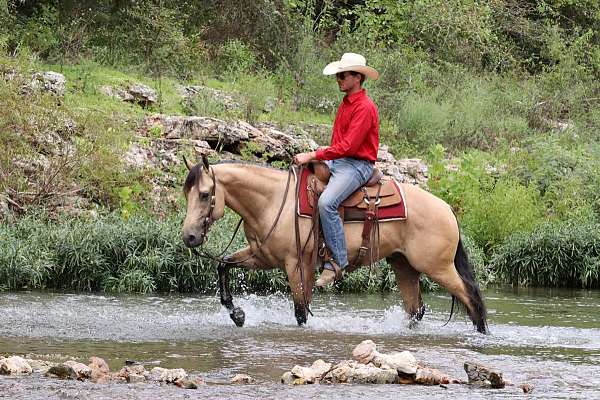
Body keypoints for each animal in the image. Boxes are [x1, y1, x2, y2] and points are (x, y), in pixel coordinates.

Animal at [182, 156, 488, 334]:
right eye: (187, 194)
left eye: (205, 194)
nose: (189, 237)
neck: (273, 201)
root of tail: (447, 208)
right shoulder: (263, 256)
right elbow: (223, 266)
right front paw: (237, 314)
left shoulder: (296, 264)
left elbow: (301, 311)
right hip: (405, 266)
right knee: (417, 309)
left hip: (438, 267)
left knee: (471, 297)